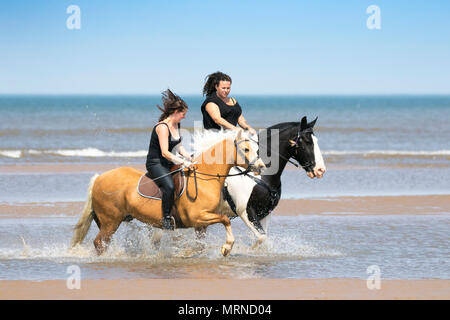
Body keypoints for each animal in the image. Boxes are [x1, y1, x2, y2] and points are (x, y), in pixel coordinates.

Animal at [71, 129, 264, 256]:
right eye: (246, 149)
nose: (261, 166)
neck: (204, 178)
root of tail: (99, 178)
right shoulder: (198, 217)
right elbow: (225, 220)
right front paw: (226, 247)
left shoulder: (201, 224)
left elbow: (200, 245)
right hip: (110, 221)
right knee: (99, 243)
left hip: (107, 221)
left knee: (102, 243)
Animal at [216, 117, 326, 245]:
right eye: (307, 141)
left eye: (316, 140)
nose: (320, 170)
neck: (261, 174)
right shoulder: (246, 212)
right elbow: (261, 237)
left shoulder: (264, 213)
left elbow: (263, 238)